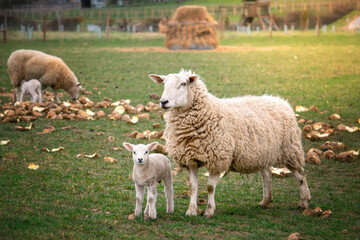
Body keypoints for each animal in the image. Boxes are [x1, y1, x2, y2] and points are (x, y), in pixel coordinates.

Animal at [150, 69, 310, 218]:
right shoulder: (190, 159)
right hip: (263, 152)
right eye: (164, 84)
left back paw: (304, 202)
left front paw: (209, 211)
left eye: (183, 84)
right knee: (267, 175)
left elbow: (210, 187)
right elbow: (193, 187)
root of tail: (280, 100)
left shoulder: (218, 158)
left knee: (300, 174)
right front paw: (191, 211)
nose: (163, 102)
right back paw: (265, 202)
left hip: (290, 149)